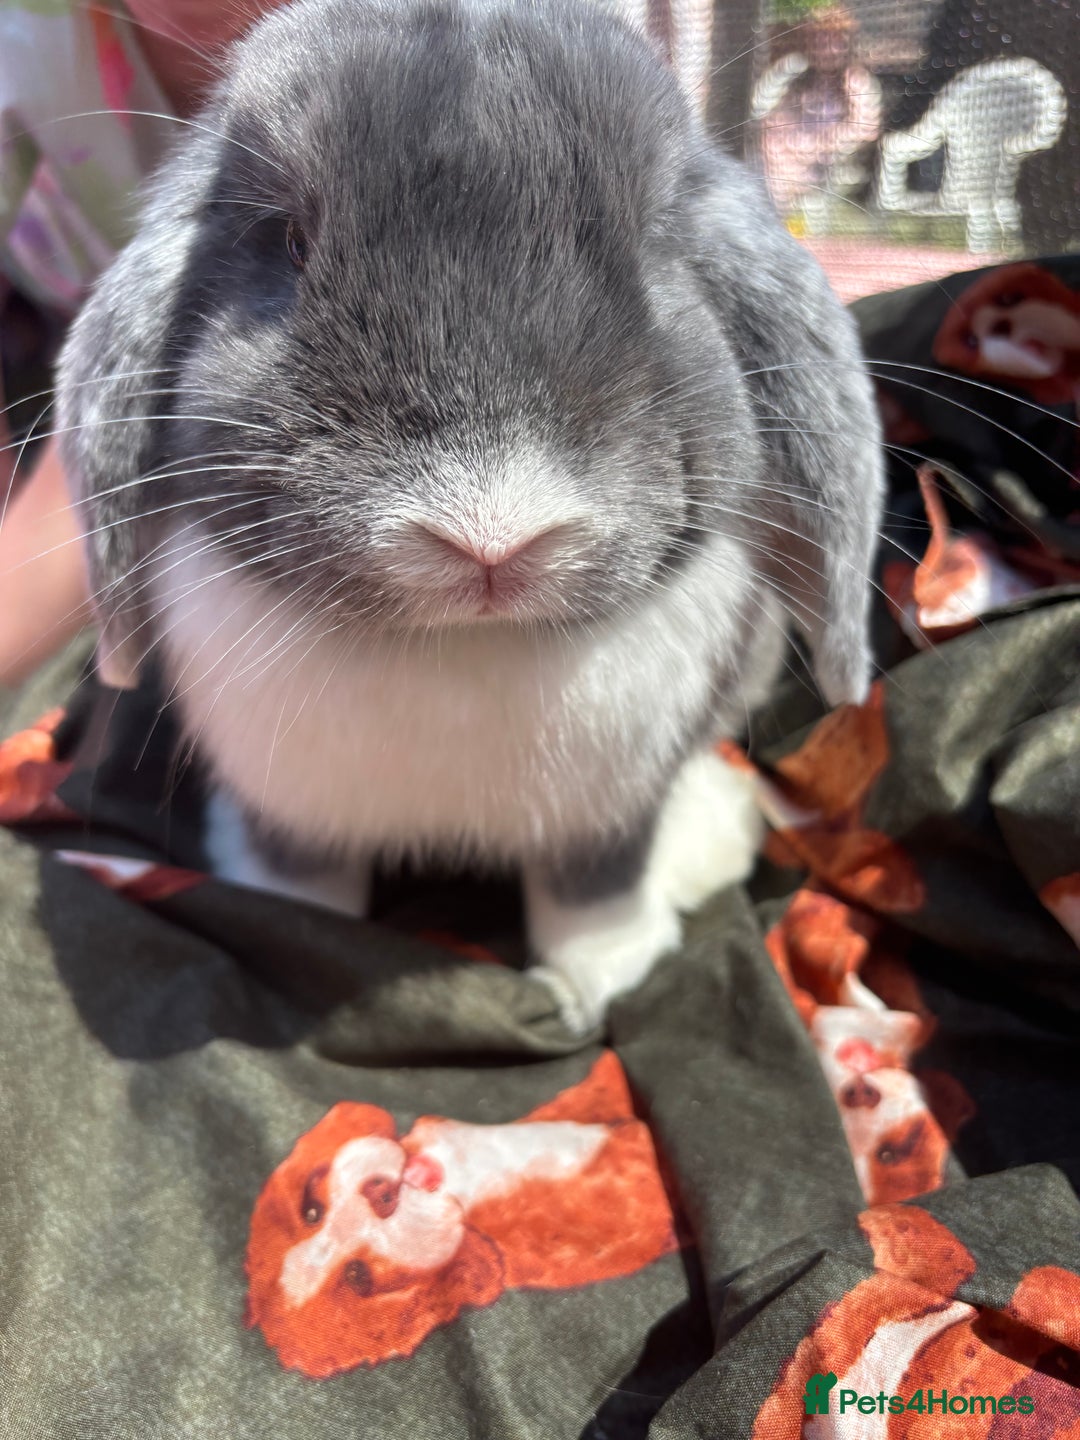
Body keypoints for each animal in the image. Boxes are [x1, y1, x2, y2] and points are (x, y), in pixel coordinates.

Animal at [57, 0, 884, 1032]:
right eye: (288, 240)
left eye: (655, 243)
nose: (493, 538)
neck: (460, 648)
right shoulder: (289, 807)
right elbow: (302, 881)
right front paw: (284, 923)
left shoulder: (607, 816)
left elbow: (595, 891)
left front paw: (602, 976)